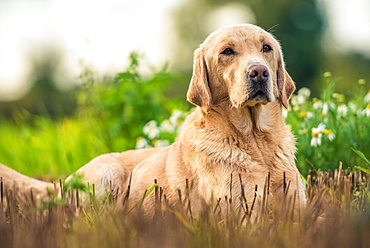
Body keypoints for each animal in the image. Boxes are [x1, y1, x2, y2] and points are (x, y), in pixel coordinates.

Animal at [0, 23, 306, 217]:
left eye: (266, 48)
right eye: (227, 52)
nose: (259, 73)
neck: (255, 140)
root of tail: (63, 182)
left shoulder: (298, 207)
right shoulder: (242, 212)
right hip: (106, 175)